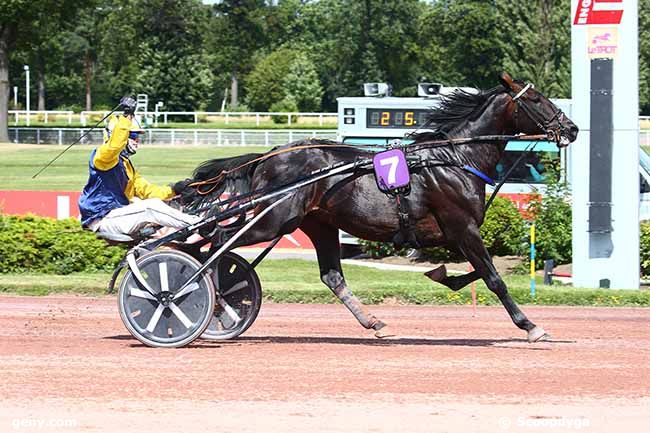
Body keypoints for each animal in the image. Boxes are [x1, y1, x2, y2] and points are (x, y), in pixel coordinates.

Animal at [177, 72, 576, 342]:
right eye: (537, 99)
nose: (570, 128)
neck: (454, 159)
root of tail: (270, 154)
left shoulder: (456, 233)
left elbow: (477, 274)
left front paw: (442, 275)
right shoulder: (462, 227)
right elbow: (493, 278)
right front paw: (531, 326)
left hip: (318, 223)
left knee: (332, 276)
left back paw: (374, 322)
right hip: (276, 219)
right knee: (220, 239)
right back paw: (206, 297)